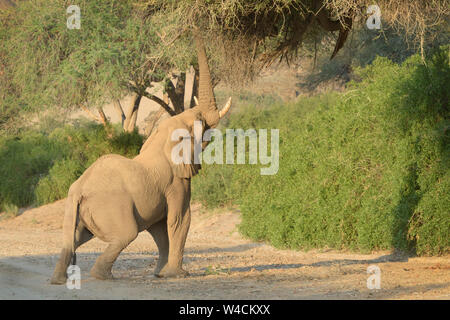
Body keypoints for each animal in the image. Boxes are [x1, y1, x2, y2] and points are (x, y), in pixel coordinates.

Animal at [50, 30, 232, 284]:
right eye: (200, 122)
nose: (195, 28)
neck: (162, 140)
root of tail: (79, 190)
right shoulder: (176, 183)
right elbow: (179, 220)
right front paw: (178, 275)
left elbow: (160, 230)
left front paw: (160, 274)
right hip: (111, 208)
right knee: (126, 234)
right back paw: (103, 276)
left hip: (76, 210)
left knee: (73, 240)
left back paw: (58, 280)